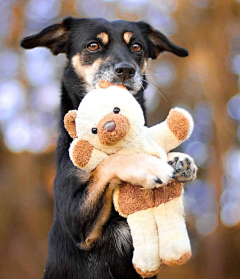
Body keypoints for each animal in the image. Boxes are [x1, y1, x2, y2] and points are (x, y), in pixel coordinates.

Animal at [20, 17, 197, 279]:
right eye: (93, 45)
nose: (126, 70)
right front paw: (147, 166)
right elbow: (108, 162)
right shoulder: (77, 221)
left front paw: (177, 159)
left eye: (137, 47)